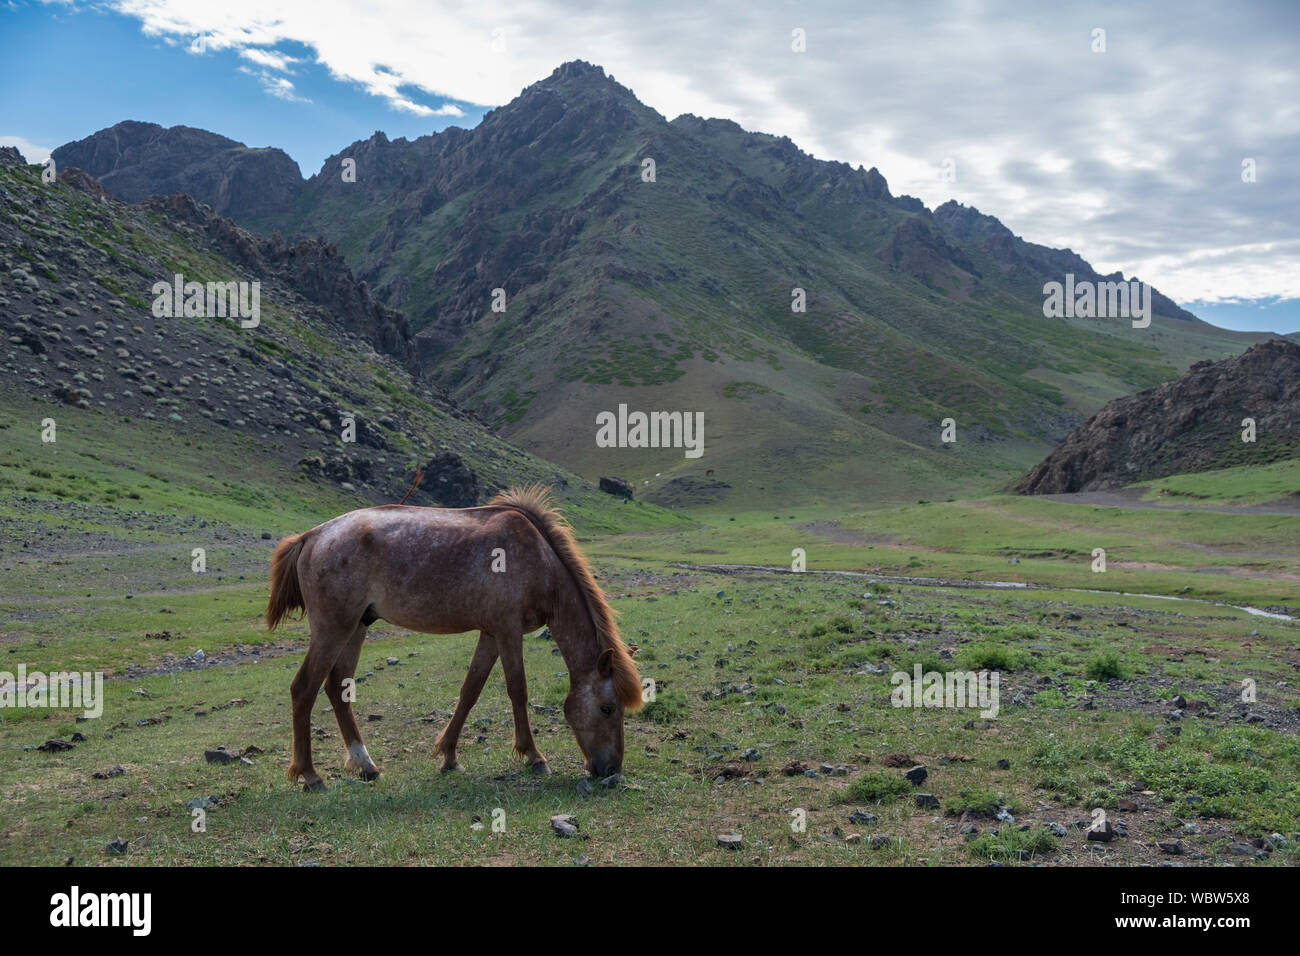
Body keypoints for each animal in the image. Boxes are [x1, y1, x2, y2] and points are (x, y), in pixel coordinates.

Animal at [265, 486, 644, 790]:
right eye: (607, 708)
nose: (612, 771)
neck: (539, 560)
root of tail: (311, 536)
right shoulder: (507, 630)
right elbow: (517, 690)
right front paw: (534, 757)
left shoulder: (491, 633)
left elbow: (470, 691)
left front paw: (448, 756)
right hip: (334, 628)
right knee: (304, 689)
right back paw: (310, 775)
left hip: (357, 626)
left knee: (337, 688)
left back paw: (365, 765)